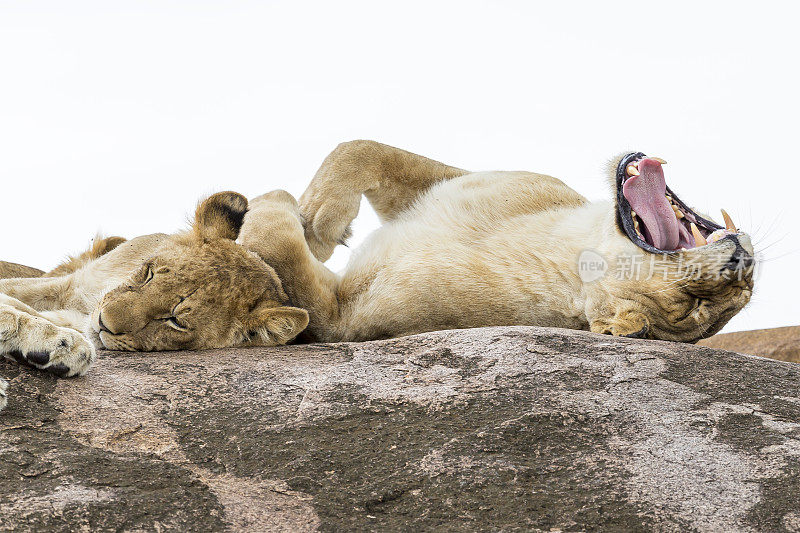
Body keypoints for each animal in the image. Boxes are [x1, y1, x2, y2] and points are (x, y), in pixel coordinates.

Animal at [0, 139, 752, 410]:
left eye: (692, 313)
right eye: (718, 302)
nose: (742, 264)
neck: (565, 247)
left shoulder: (336, 316)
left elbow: (278, 235)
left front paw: (288, 216)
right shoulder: (453, 183)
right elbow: (356, 150)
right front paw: (323, 214)